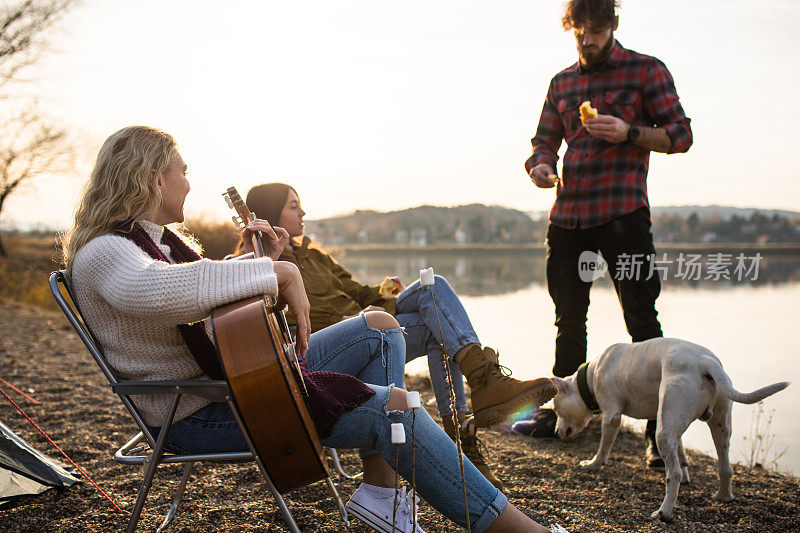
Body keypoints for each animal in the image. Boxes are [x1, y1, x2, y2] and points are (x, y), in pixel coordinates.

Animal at [552, 336, 788, 520]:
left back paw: (663, 512)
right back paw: (723, 496)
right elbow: (682, 454)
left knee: (672, 473)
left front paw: (592, 464)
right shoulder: (675, 426)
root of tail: (706, 363)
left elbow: (603, 449)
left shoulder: (611, 416)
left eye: (555, 408)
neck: (590, 378)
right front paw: (686, 475)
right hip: (718, 425)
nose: (555, 432)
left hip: (663, 433)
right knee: (725, 466)